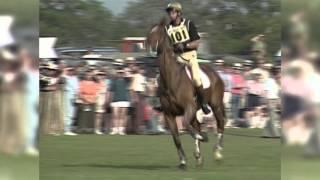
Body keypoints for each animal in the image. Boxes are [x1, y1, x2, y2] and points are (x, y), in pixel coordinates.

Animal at [146, 18, 226, 169]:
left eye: (158, 33)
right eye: (149, 33)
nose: (148, 50)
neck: (172, 79)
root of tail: (216, 74)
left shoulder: (189, 108)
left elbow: (187, 127)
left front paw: (203, 137)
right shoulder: (169, 114)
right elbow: (177, 138)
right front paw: (183, 161)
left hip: (216, 105)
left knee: (220, 123)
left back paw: (218, 153)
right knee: (197, 125)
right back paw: (199, 157)